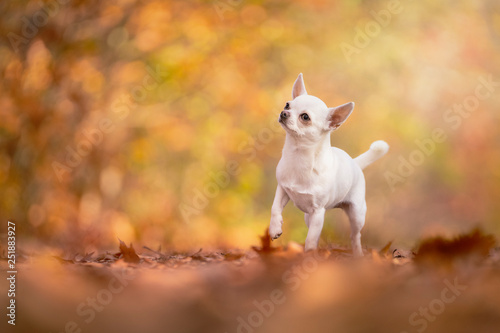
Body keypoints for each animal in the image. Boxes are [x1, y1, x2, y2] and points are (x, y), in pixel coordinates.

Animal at [268, 73, 388, 254]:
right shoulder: (282, 189)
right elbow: (275, 208)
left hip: (357, 213)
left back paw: (358, 253)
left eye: (305, 117)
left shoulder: (318, 212)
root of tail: (354, 163)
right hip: (308, 216)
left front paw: (309, 255)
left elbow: (310, 239)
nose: (284, 113)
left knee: (355, 235)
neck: (299, 155)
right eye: (287, 105)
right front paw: (275, 228)